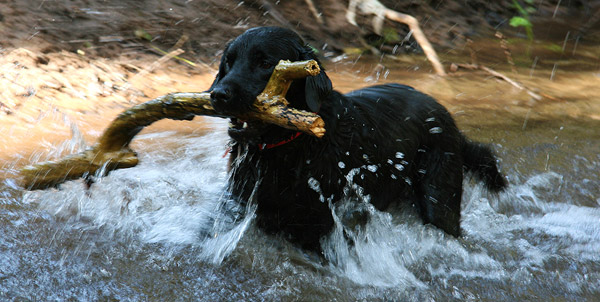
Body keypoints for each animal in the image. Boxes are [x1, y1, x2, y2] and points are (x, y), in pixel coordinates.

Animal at [209, 27, 504, 250]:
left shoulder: (321, 226)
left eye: (265, 63)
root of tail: (445, 114)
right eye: (228, 61)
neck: (290, 146)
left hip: (439, 201)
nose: (218, 94)